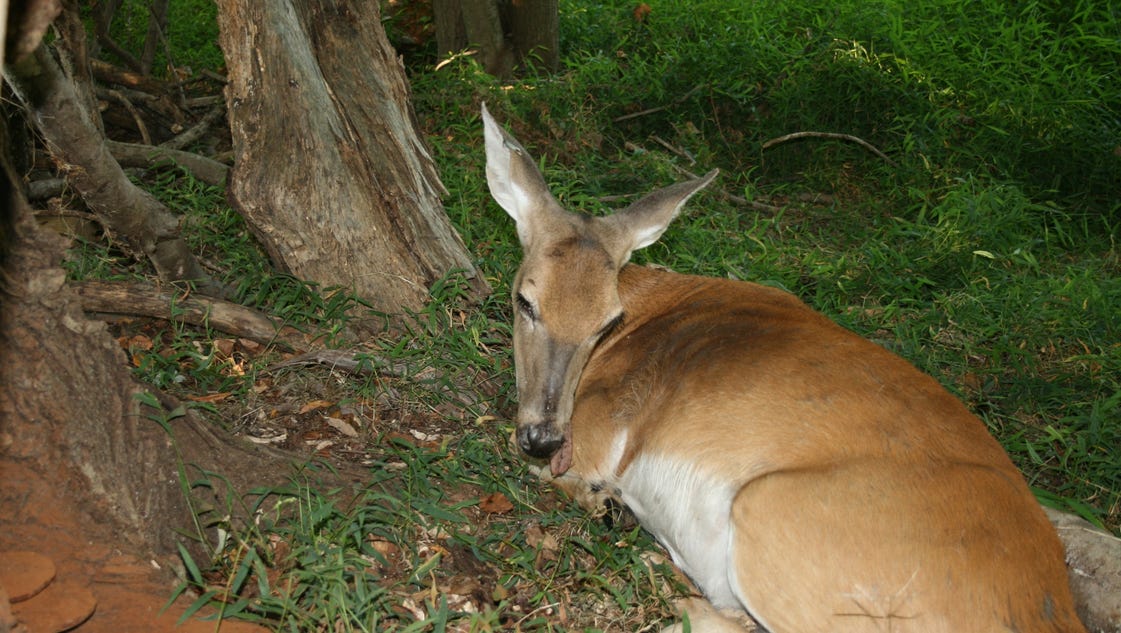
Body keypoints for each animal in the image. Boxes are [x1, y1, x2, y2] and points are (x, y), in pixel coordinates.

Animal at [480, 103, 1086, 633]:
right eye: (524, 301)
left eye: (607, 322)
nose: (544, 437)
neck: (645, 305)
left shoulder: (602, 432)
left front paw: (597, 498)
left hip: (773, 517)